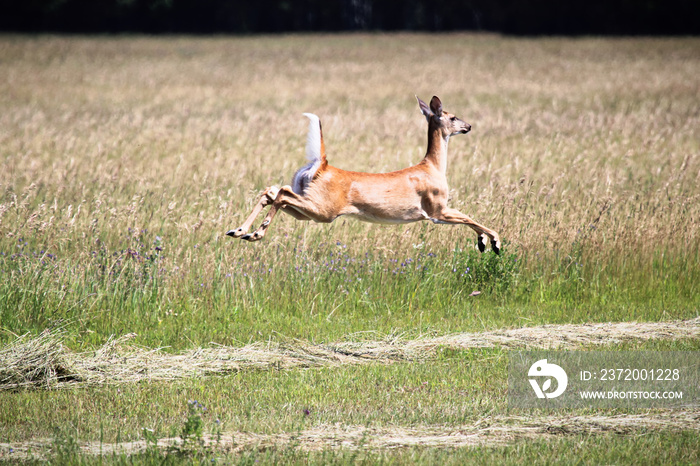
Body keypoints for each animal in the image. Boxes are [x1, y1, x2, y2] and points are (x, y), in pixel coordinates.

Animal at [227, 95, 500, 255]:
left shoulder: (438, 212)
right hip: (324, 209)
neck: (432, 167)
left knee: (272, 191)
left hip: (310, 208)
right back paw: (255, 233)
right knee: (281, 193)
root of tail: (321, 165)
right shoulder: (436, 209)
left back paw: (239, 231)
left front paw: (483, 243)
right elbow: (470, 218)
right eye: (453, 116)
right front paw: (494, 243)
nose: (468, 126)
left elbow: (469, 220)